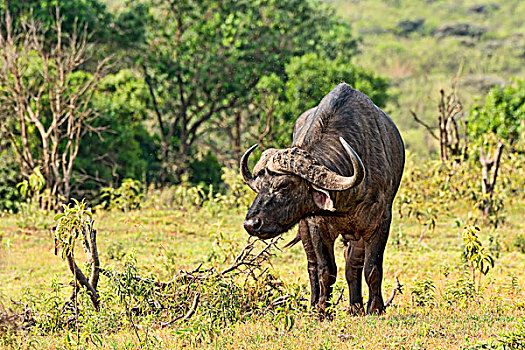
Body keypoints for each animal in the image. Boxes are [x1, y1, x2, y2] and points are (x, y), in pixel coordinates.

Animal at [239, 83, 404, 316]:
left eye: (284, 185)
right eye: (259, 186)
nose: (252, 224)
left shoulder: (380, 222)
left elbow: (372, 268)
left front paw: (375, 308)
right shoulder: (316, 224)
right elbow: (326, 269)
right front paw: (321, 311)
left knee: (353, 265)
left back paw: (356, 307)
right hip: (306, 229)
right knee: (312, 266)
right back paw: (314, 303)